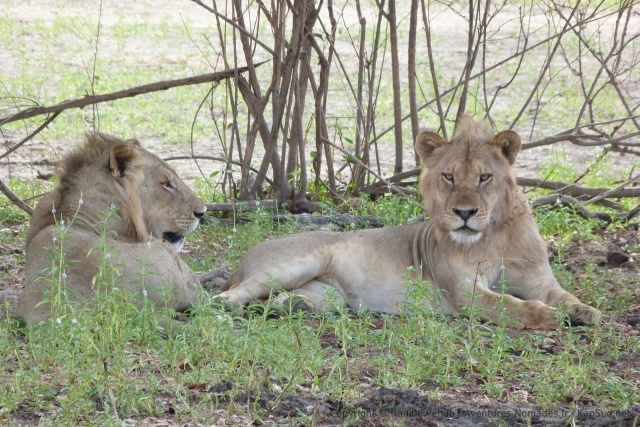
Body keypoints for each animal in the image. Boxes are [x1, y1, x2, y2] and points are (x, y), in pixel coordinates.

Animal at [218, 116, 600, 329]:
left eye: (484, 178)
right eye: (449, 176)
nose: (464, 213)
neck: (494, 234)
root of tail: (244, 259)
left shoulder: (538, 281)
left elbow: (565, 296)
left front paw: (585, 312)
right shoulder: (465, 293)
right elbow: (513, 306)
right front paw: (551, 318)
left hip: (328, 294)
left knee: (286, 299)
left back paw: (290, 307)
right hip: (296, 263)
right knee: (237, 292)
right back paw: (226, 306)